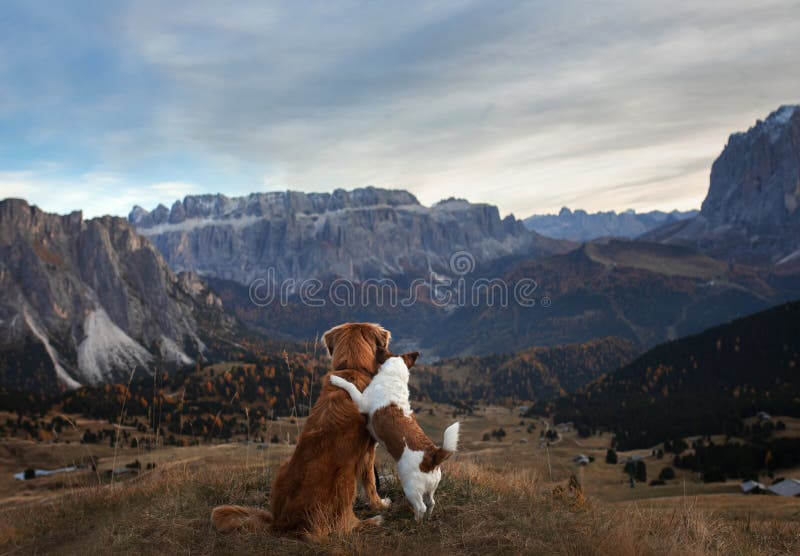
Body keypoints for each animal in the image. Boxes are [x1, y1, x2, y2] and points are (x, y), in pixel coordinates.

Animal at [211, 324, 390, 536]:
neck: (352, 369)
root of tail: (279, 523)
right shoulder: (367, 451)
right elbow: (371, 483)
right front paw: (380, 504)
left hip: (283, 467)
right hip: (345, 477)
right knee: (342, 526)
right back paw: (371, 521)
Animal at [330, 348, 456, 520]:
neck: (393, 377)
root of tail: (431, 458)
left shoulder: (362, 401)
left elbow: (351, 387)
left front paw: (336, 379)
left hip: (411, 488)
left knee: (421, 506)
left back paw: (416, 520)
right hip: (431, 487)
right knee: (431, 502)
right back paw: (428, 517)